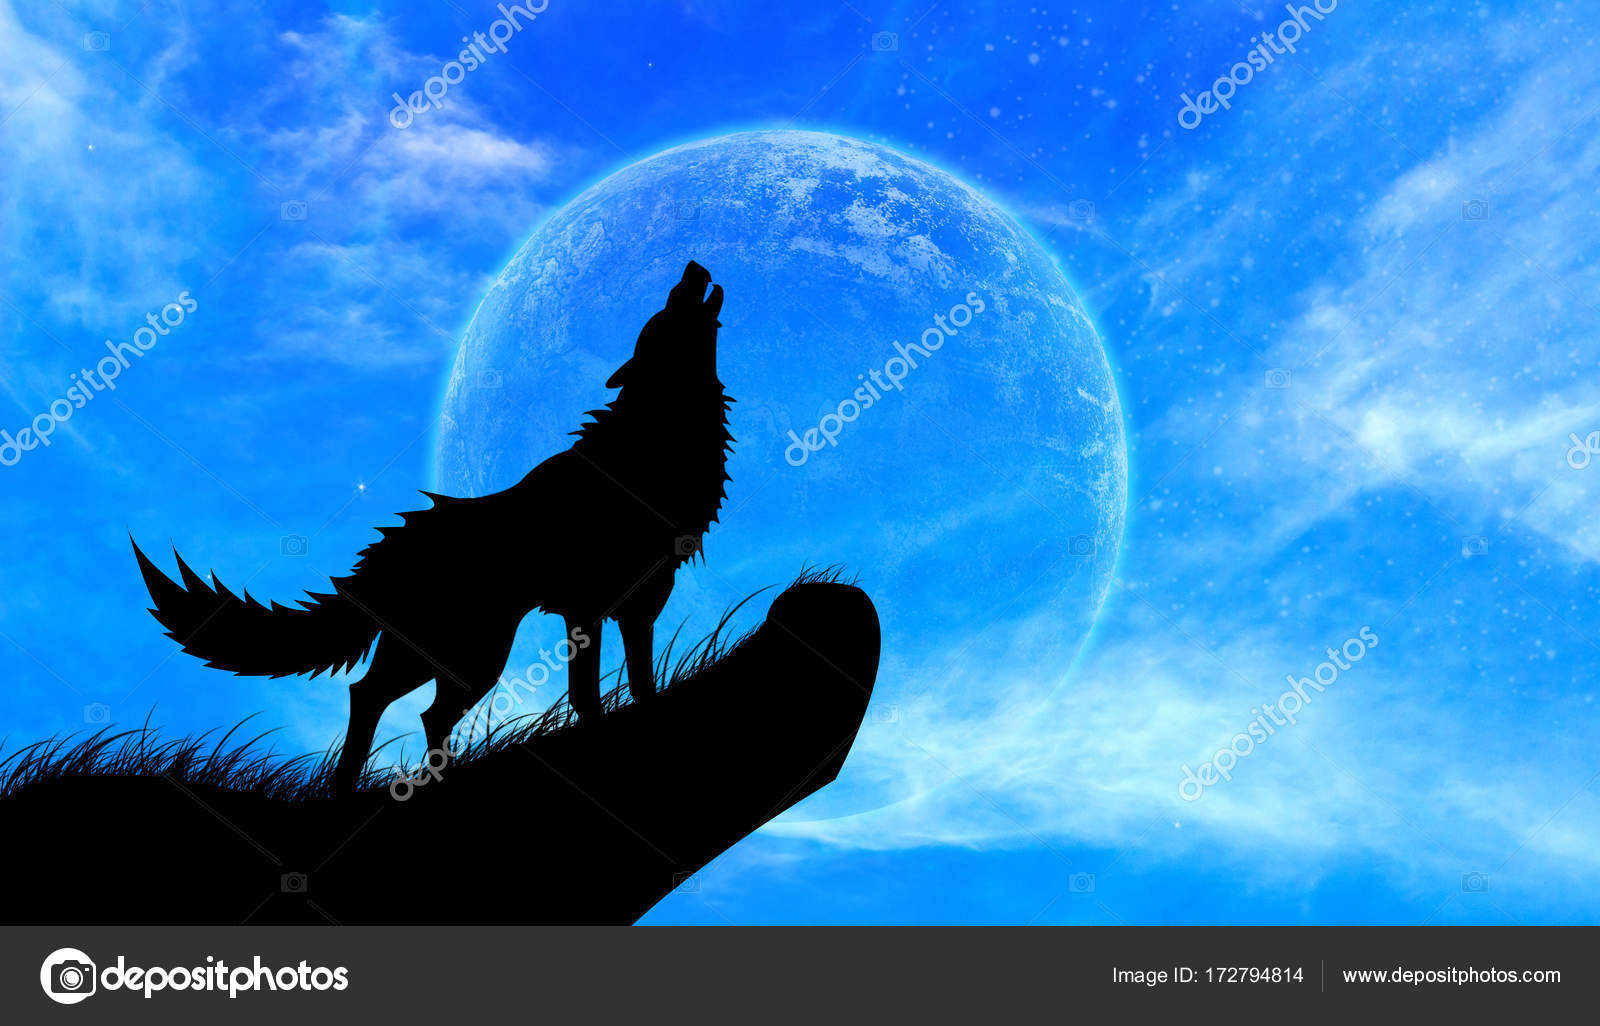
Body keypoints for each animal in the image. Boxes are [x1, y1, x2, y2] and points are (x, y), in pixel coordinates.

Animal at [133, 261, 734, 792]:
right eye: (665, 311)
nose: (692, 265)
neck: (647, 446)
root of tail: (382, 553)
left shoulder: (643, 601)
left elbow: (642, 681)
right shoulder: (586, 608)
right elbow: (588, 694)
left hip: (443, 655)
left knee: (390, 701)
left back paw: (370, 787)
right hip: (473, 652)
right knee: (397, 704)